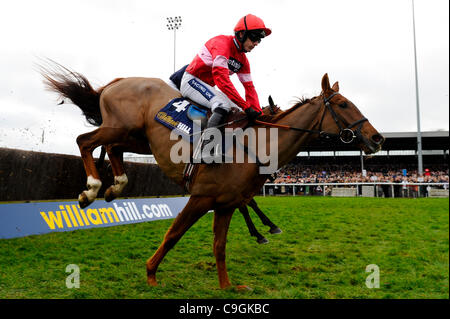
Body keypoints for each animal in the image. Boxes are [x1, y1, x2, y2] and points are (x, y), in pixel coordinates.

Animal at [42, 65, 384, 290]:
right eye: (343, 104)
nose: (377, 138)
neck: (255, 146)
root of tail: (118, 81)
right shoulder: (201, 197)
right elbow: (173, 234)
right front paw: (151, 273)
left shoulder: (226, 204)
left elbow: (220, 245)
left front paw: (227, 286)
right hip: (120, 127)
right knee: (85, 140)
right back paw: (92, 188)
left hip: (135, 137)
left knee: (111, 148)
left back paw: (115, 186)